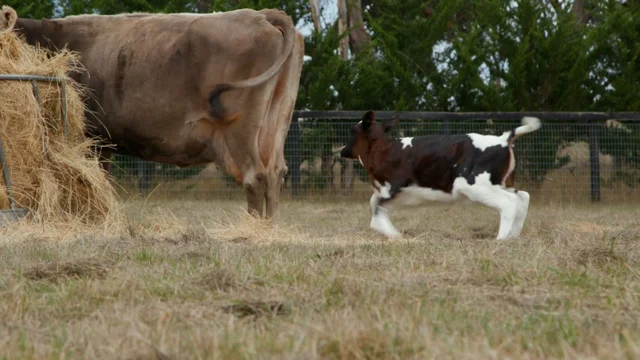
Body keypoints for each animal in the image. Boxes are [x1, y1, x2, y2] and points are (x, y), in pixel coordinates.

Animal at [0, 5, 304, 219]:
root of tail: (264, 15)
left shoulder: (91, 137)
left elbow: (93, 181)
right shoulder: (104, 142)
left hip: (240, 128)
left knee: (256, 177)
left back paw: (253, 232)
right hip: (278, 119)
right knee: (275, 172)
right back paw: (271, 230)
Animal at [340, 111, 540, 240]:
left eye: (352, 132)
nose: (342, 151)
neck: (384, 150)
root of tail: (503, 139)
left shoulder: (395, 187)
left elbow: (376, 209)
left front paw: (393, 234)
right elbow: (374, 203)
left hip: (475, 185)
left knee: (509, 202)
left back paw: (501, 239)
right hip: (500, 183)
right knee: (523, 197)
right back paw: (513, 237)